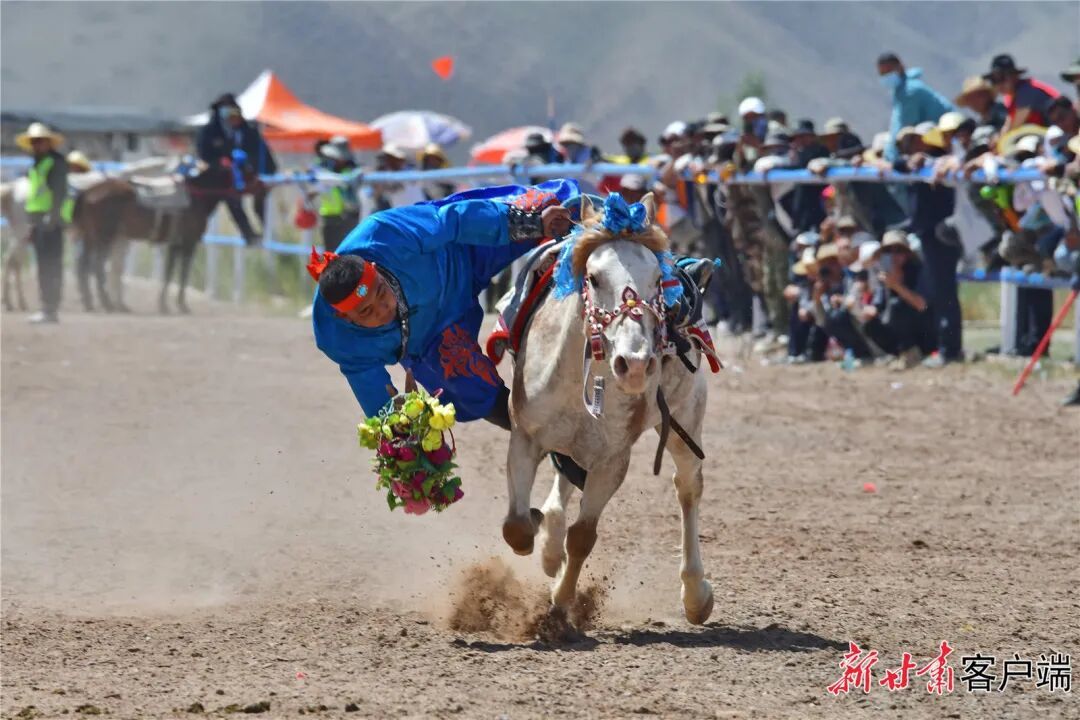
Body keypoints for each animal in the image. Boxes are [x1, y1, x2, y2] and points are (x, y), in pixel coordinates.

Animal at [502, 192, 714, 627]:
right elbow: (517, 527)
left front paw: (561, 603)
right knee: (563, 483)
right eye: (595, 278)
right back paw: (549, 545)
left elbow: (583, 537)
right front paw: (541, 542)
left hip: (685, 422)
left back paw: (695, 594)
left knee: (688, 488)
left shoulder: (612, 461)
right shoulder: (525, 436)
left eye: (656, 280)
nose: (634, 364)